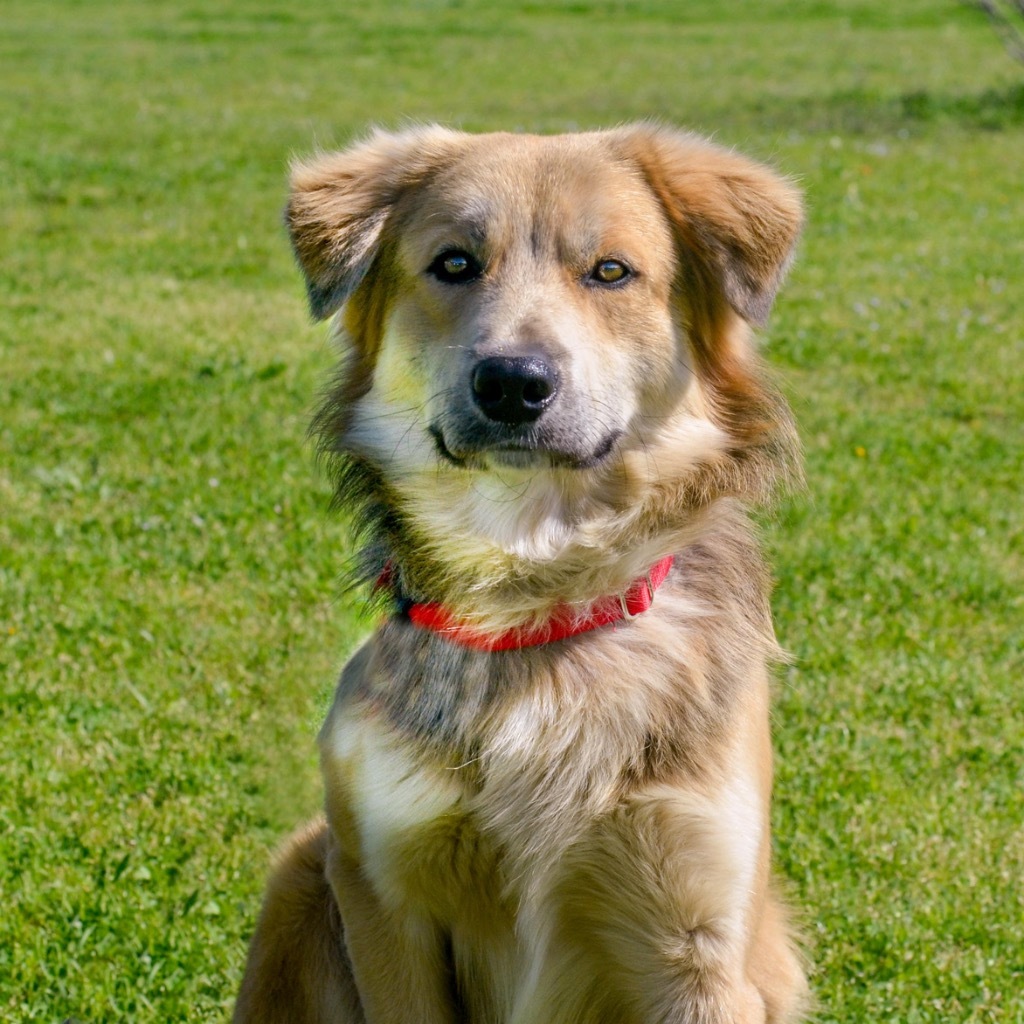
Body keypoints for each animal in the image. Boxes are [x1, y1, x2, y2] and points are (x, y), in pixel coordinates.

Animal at [235, 123, 811, 1019]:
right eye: (454, 263)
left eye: (610, 271)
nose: (512, 381)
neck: (534, 592)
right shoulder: (386, 897)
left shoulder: (698, 931)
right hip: (302, 870)